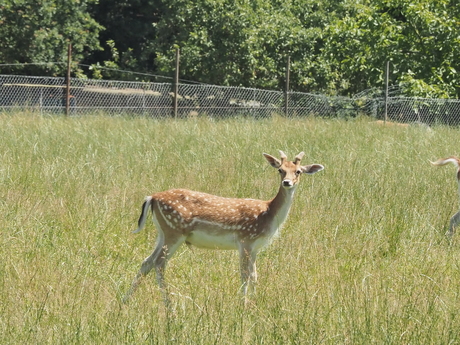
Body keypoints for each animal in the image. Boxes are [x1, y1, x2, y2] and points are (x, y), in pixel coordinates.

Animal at [122, 150, 324, 304]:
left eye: (298, 171)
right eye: (280, 170)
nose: (287, 182)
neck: (269, 214)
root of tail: (152, 197)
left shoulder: (256, 246)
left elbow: (255, 275)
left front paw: (255, 302)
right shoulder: (245, 240)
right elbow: (245, 275)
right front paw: (243, 304)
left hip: (163, 232)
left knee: (147, 261)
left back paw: (126, 300)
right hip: (174, 231)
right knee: (159, 263)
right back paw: (169, 304)